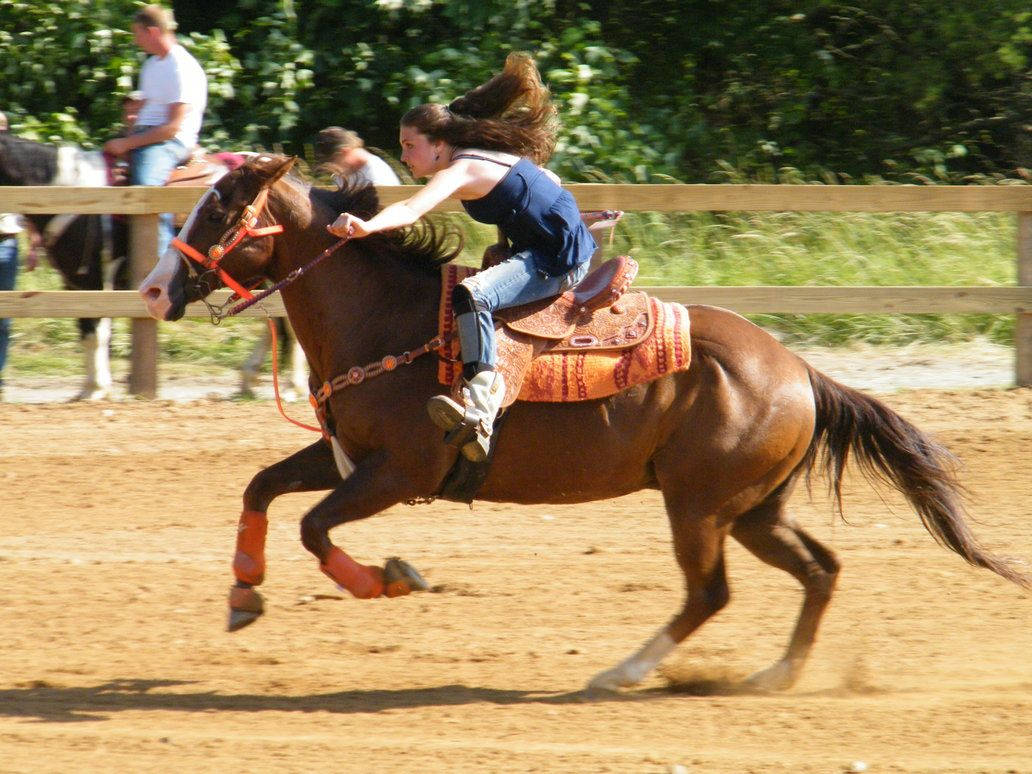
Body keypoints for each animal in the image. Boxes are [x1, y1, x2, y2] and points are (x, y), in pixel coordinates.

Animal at [139, 154, 1032, 693]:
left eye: (219, 210)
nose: (151, 291)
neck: (385, 320)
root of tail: (799, 370)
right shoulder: (344, 458)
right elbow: (261, 490)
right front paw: (242, 593)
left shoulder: (399, 473)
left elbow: (316, 530)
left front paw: (389, 578)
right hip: (752, 508)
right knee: (819, 569)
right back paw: (772, 678)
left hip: (699, 507)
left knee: (710, 592)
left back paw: (623, 673)